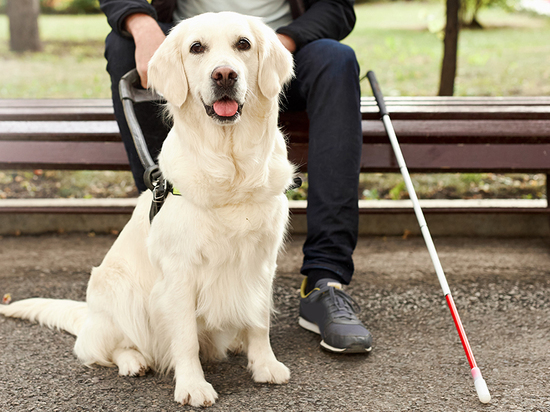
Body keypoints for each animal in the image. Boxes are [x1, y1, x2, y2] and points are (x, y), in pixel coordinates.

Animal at [0, 12, 298, 408]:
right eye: (196, 47)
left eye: (243, 44)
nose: (224, 75)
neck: (229, 166)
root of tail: (89, 316)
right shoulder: (179, 271)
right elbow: (185, 337)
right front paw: (193, 385)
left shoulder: (262, 260)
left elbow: (259, 320)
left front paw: (264, 364)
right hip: (118, 292)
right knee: (104, 348)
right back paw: (133, 361)